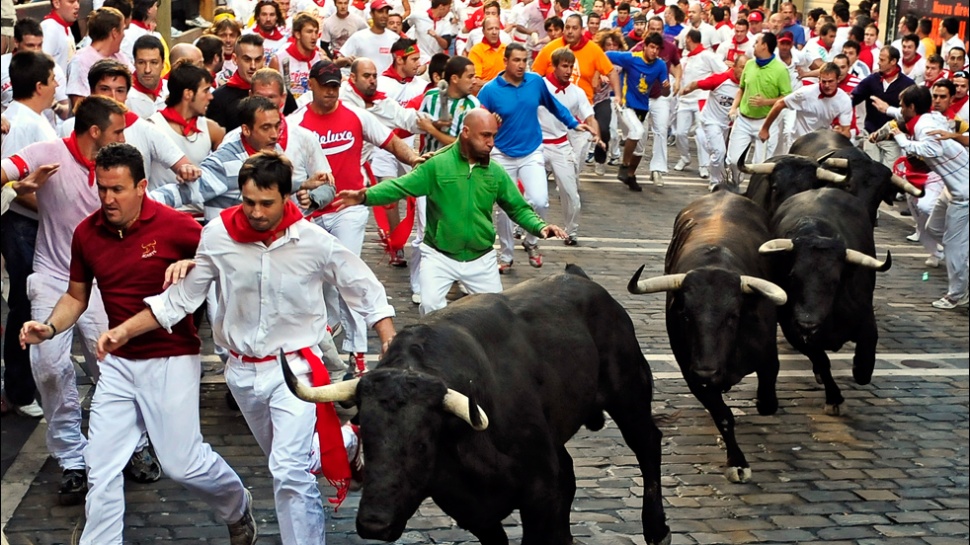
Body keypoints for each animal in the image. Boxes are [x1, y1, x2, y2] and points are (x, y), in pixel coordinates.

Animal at [284, 266, 668, 544]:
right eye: (365, 433)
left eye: (422, 443)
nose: (374, 524)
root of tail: (582, 278)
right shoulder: (468, 509)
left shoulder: (538, 491)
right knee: (572, 471)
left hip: (629, 392)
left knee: (647, 444)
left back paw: (657, 529)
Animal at [628, 193, 788, 482]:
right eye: (686, 315)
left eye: (733, 316)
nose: (707, 370)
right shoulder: (691, 374)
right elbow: (723, 416)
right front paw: (737, 462)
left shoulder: (769, 356)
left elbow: (768, 400)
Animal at [760, 189, 888, 414]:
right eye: (792, 276)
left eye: (835, 280)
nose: (807, 323)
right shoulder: (794, 331)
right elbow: (822, 361)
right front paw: (834, 399)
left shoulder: (866, 320)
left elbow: (864, 365)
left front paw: (858, 369)